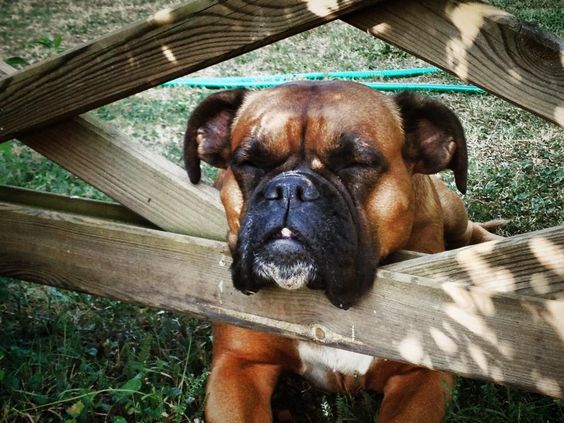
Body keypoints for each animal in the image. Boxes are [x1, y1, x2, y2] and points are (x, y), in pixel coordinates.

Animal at [183, 81, 500, 422]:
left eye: (356, 163)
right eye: (249, 163)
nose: (290, 188)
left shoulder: (421, 377)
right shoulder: (237, 366)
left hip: (453, 213)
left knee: (471, 230)